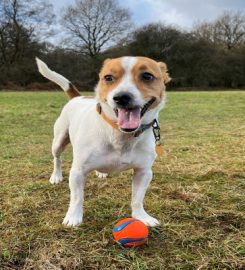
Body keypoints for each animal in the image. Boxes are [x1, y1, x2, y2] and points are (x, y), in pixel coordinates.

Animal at [36, 57, 170, 228]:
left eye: (147, 76)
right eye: (108, 78)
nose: (121, 97)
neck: (120, 134)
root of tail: (78, 97)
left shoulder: (144, 172)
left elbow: (137, 199)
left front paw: (141, 216)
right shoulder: (78, 172)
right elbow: (77, 197)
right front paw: (73, 217)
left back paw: (101, 172)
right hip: (59, 140)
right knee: (57, 158)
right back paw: (56, 176)